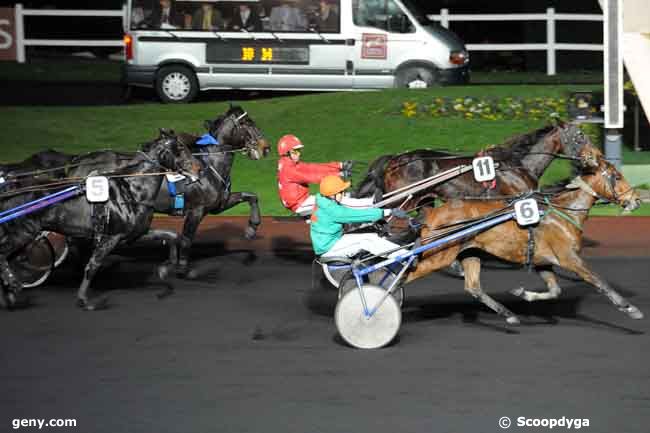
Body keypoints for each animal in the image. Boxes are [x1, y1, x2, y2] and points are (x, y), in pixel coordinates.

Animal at [0, 132, 199, 310]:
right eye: (181, 147)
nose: (198, 168)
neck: (132, 190)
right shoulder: (111, 236)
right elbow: (93, 265)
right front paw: (84, 300)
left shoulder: (134, 233)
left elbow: (172, 236)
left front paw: (165, 269)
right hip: (23, 231)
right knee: (4, 254)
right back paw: (14, 286)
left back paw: (10, 293)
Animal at [402, 148, 640, 324]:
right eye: (617, 176)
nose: (636, 200)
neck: (561, 212)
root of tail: (431, 214)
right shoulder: (569, 258)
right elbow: (599, 281)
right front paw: (629, 308)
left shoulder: (543, 261)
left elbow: (555, 290)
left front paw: (523, 293)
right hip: (437, 255)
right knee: (404, 277)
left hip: (469, 252)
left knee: (473, 287)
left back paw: (508, 315)